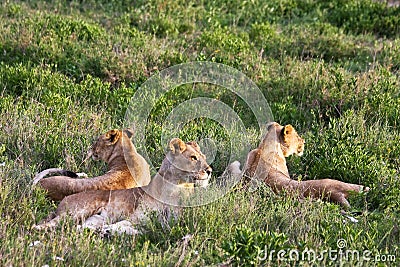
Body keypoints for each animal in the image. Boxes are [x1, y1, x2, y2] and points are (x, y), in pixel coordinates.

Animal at [33, 139, 214, 236]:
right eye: (193, 157)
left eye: (204, 157)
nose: (209, 171)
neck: (176, 188)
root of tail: (65, 199)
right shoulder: (136, 217)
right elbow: (126, 225)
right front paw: (109, 231)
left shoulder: (167, 225)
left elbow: (142, 231)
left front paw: (108, 232)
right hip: (76, 212)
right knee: (46, 224)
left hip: (94, 218)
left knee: (79, 227)